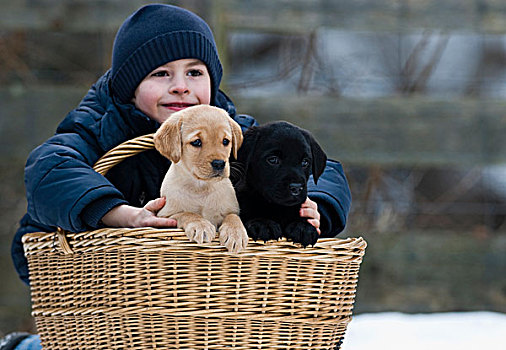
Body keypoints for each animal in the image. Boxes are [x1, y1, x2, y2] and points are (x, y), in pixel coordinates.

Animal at [154, 104, 249, 252]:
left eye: (225, 141)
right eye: (197, 142)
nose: (219, 163)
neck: (201, 187)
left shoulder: (232, 210)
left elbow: (233, 216)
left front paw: (235, 233)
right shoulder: (165, 216)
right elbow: (187, 214)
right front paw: (201, 225)